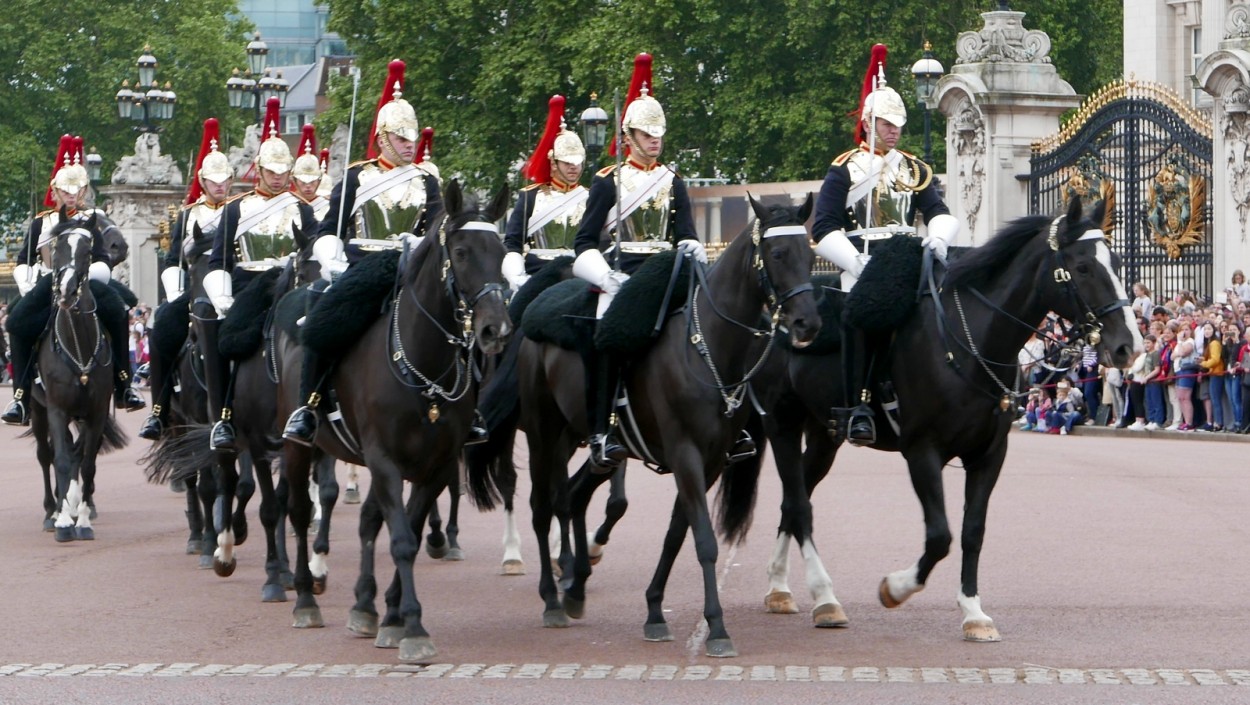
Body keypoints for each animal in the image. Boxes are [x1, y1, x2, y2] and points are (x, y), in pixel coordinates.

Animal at [29, 215, 128, 540]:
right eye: (56, 247)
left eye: (87, 251)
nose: (67, 291)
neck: (78, 344)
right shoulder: (57, 409)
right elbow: (59, 459)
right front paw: (62, 521)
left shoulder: (96, 411)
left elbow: (86, 463)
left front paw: (82, 518)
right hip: (38, 409)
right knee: (45, 455)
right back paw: (52, 510)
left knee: (77, 452)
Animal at [276, 180, 510, 660]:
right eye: (461, 252)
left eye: (501, 250)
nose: (494, 329)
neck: (423, 366)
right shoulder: (384, 460)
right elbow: (401, 539)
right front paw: (414, 627)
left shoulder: (436, 464)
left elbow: (411, 534)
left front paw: (393, 616)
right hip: (298, 446)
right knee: (299, 510)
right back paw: (306, 597)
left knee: (367, 520)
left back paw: (364, 605)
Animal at [470, 195, 820, 660]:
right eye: (778, 254)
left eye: (811, 255)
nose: (807, 324)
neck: (706, 347)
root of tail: (529, 320)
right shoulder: (685, 454)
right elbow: (704, 540)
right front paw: (717, 627)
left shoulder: (710, 462)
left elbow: (676, 534)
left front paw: (654, 610)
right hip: (545, 433)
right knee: (542, 507)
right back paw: (552, 598)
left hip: (582, 442)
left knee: (572, 498)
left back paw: (575, 586)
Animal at [740, 197, 1145, 640]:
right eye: (1083, 267)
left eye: (1117, 261)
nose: (1129, 347)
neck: (970, 341)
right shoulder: (922, 450)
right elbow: (939, 536)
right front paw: (895, 589)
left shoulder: (989, 454)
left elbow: (972, 532)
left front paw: (973, 612)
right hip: (782, 423)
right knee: (798, 503)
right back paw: (819, 597)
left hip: (824, 433)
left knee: (793, 499)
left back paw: (782, 589)